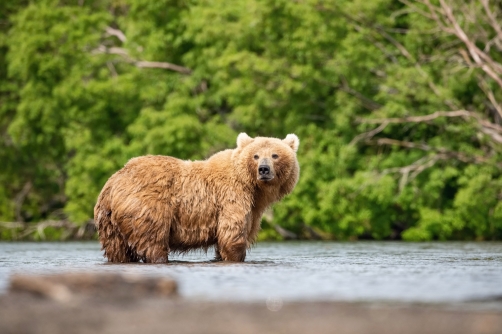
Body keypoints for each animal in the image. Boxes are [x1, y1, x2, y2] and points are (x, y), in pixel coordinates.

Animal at [93, 133, 298, 264]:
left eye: (274, 155)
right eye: (256, 156)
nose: (264, 169)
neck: (253, 188)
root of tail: (113, 183)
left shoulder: (253, 208)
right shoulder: (232, 197)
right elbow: (233, 235)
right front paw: (236, 256)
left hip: (109, 222)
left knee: (117, 249)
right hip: (146, 208)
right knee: (153, 241)